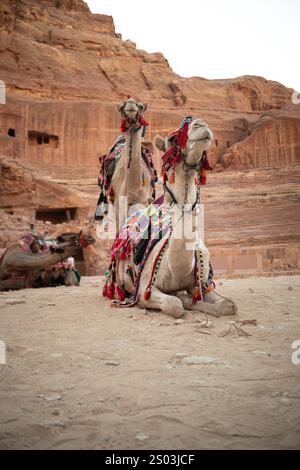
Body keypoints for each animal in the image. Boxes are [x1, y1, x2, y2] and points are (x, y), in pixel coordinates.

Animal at [103, 115, 237, 318]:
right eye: (173, 140)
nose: (201, 125)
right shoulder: (145, 289)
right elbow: (175, 305)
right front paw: (185, 301)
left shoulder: (204, 284)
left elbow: (228, 305)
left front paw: (192, 300)